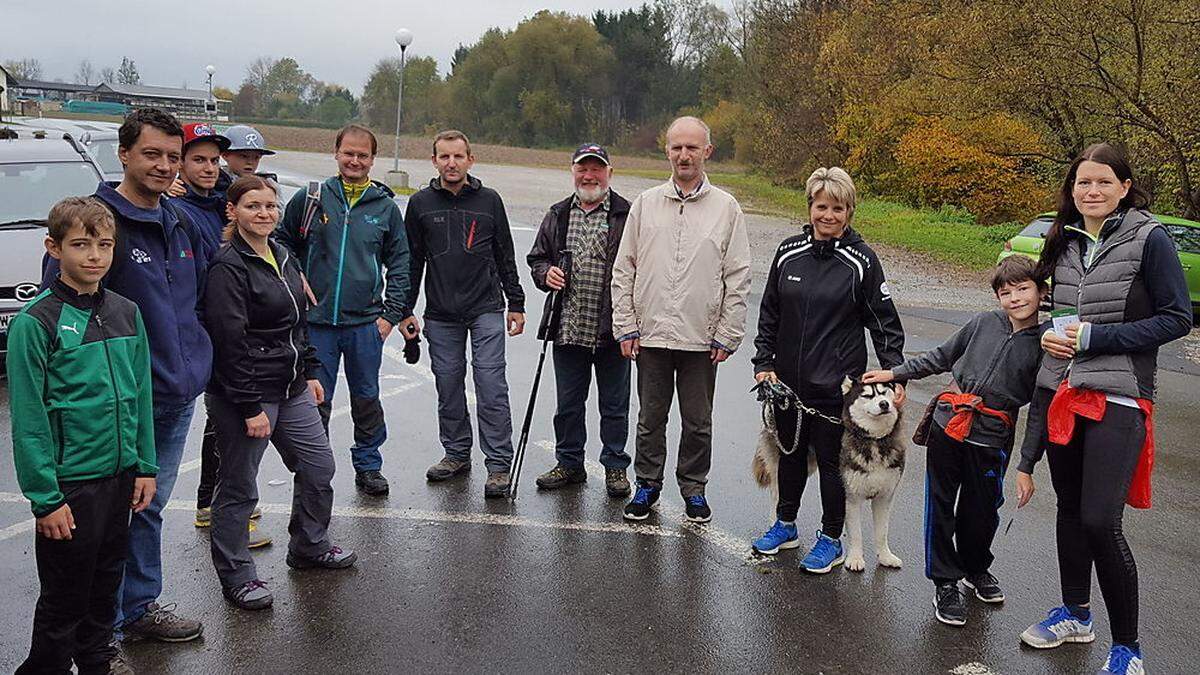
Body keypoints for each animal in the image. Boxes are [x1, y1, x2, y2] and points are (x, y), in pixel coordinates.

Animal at [840, 374, 902, 569]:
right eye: (867, 396)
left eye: (884, 392)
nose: (884, 404)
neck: (875, 440)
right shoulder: (851, 498)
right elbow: (856, 533)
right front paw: (855, 559)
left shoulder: (884, 497)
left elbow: (882, 532)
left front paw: (885, 556)